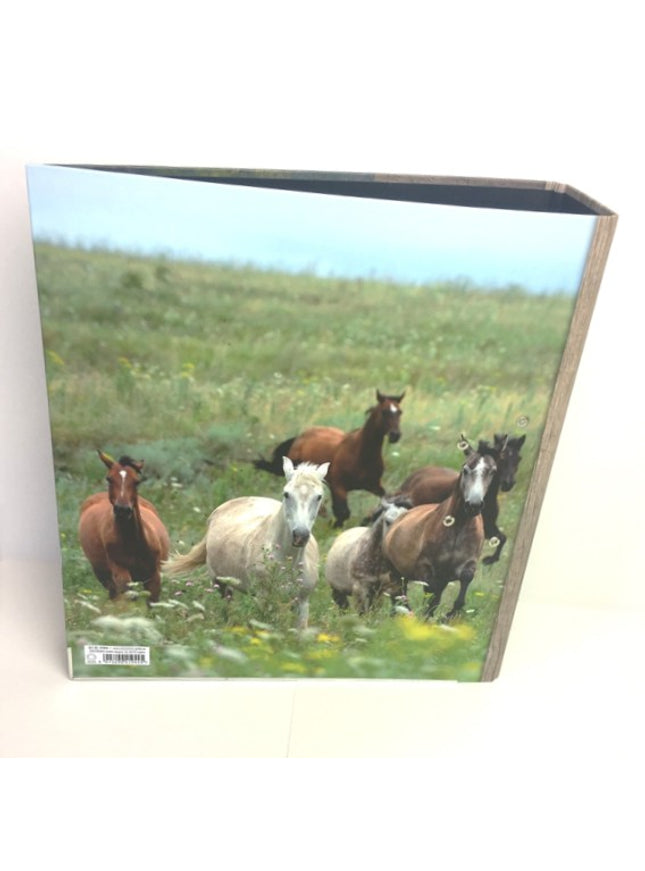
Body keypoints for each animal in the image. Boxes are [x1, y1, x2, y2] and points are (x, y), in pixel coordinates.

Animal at [78, 451, 170, 604]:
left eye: (137, 481)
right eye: (109, 479)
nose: (122, 509)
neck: (133, 543)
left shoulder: (154, 577)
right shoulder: (120, 573)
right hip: (103, 575)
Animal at [163, 457, 329, 630]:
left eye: (318, 496)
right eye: (287, 494)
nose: (300, 535)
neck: (286, 561)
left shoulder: (302, 602)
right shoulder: (262, 598)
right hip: (220, 583)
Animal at [367, 433, 524, 564]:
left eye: (518, 459)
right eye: (502, 458)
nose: (509, 483)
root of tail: (421, 471)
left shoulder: (489, 526)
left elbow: (502, 538)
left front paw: (490, 560)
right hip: (403, 495)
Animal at [382, 443, 497, 620]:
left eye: (492, 471)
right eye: (465, 469)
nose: (474, 505)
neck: (458, 527)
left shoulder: (465, 566)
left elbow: (461, 583)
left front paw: (448, 616)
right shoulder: (425, 568)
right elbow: (429, 595)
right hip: (396, 571)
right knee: (399, 594)